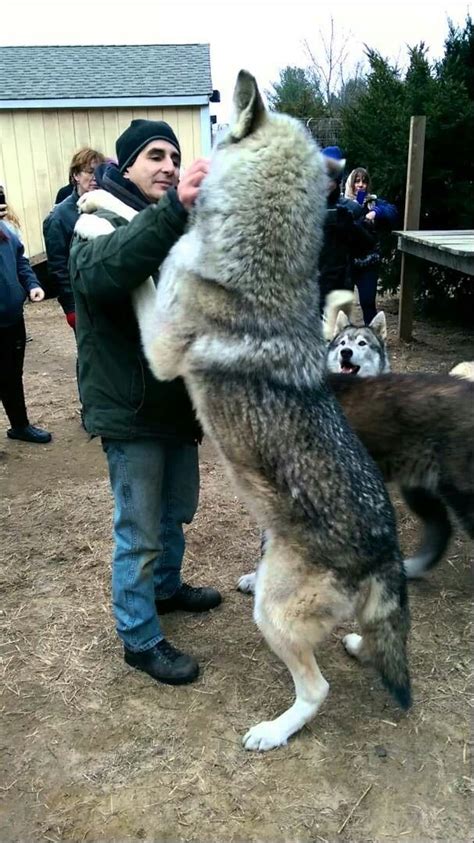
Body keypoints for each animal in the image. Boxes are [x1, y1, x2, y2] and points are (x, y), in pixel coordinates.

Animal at [76, 67, 410, 752]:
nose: (186, 166)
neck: (255, 255)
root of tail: (386, 551)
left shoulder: (160, 346)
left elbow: (145, 272)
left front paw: (93, 226)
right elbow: (139, 223)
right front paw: (97, 207)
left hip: (272, 614)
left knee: (317, 690)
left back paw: (273, 732)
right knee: (355, 642)